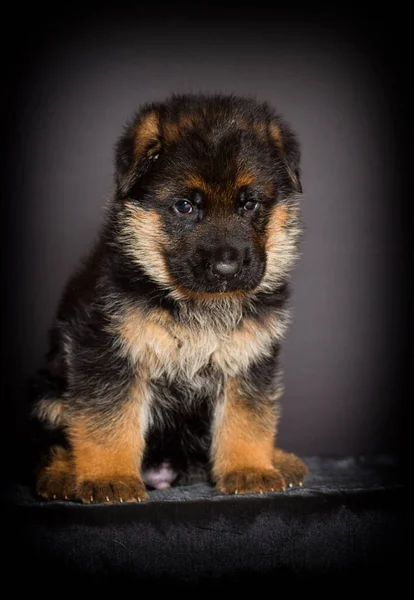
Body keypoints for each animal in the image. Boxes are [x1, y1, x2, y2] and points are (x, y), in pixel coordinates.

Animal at [29, 92, 308, 502]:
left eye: (249, 204)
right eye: (185, 206)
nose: (226, 268)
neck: (196, 305)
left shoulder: (249, 358)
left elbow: (247, 419)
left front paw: (250, 469)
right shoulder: (108, 353)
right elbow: (107, 423)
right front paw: (108, 478)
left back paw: (280, 460)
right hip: (48, 396)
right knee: (54, 443)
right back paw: (64, 477)